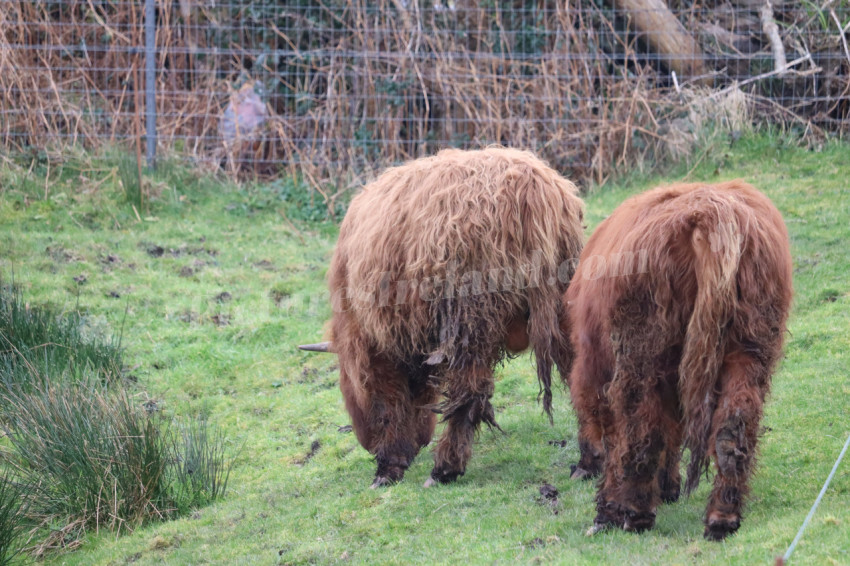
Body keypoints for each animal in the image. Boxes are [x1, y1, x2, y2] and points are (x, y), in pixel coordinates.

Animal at [303, 147, 585, 488]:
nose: (368, 444)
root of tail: (532, 185)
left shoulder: (380, 343)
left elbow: (390, 401)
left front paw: (388, 467)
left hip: (470, 319)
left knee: (471, 390)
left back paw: (444, 469)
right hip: (561, 302)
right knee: (581, 369)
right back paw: (589, 463)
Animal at [561, 180, 792, 540]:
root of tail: (711, 211)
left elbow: (615, 431)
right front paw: (667, 486)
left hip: (641, 353)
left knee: (641, 426)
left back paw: (630, 513)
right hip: (750, 347)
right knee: (734, 425)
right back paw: (722, 518)